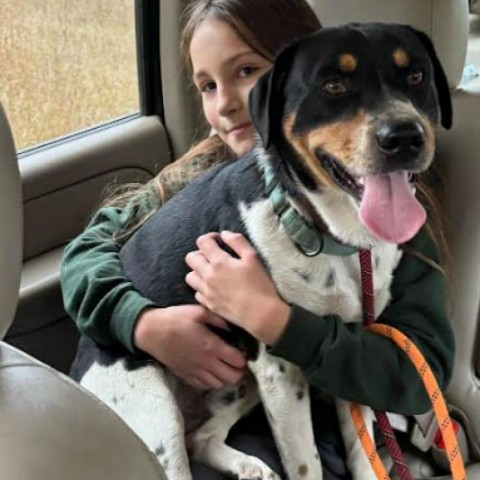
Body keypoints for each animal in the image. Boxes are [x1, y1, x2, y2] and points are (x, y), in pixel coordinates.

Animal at [70, 23, 450, 480]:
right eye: (332, 84)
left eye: (416, 76)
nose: (405, 137)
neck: (328, 234)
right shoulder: (279, 369)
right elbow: (306, 464)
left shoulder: (348, 355)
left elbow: (362, 451)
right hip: (156, 409)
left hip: (240, 383)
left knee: (201, 438)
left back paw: (250, 467)